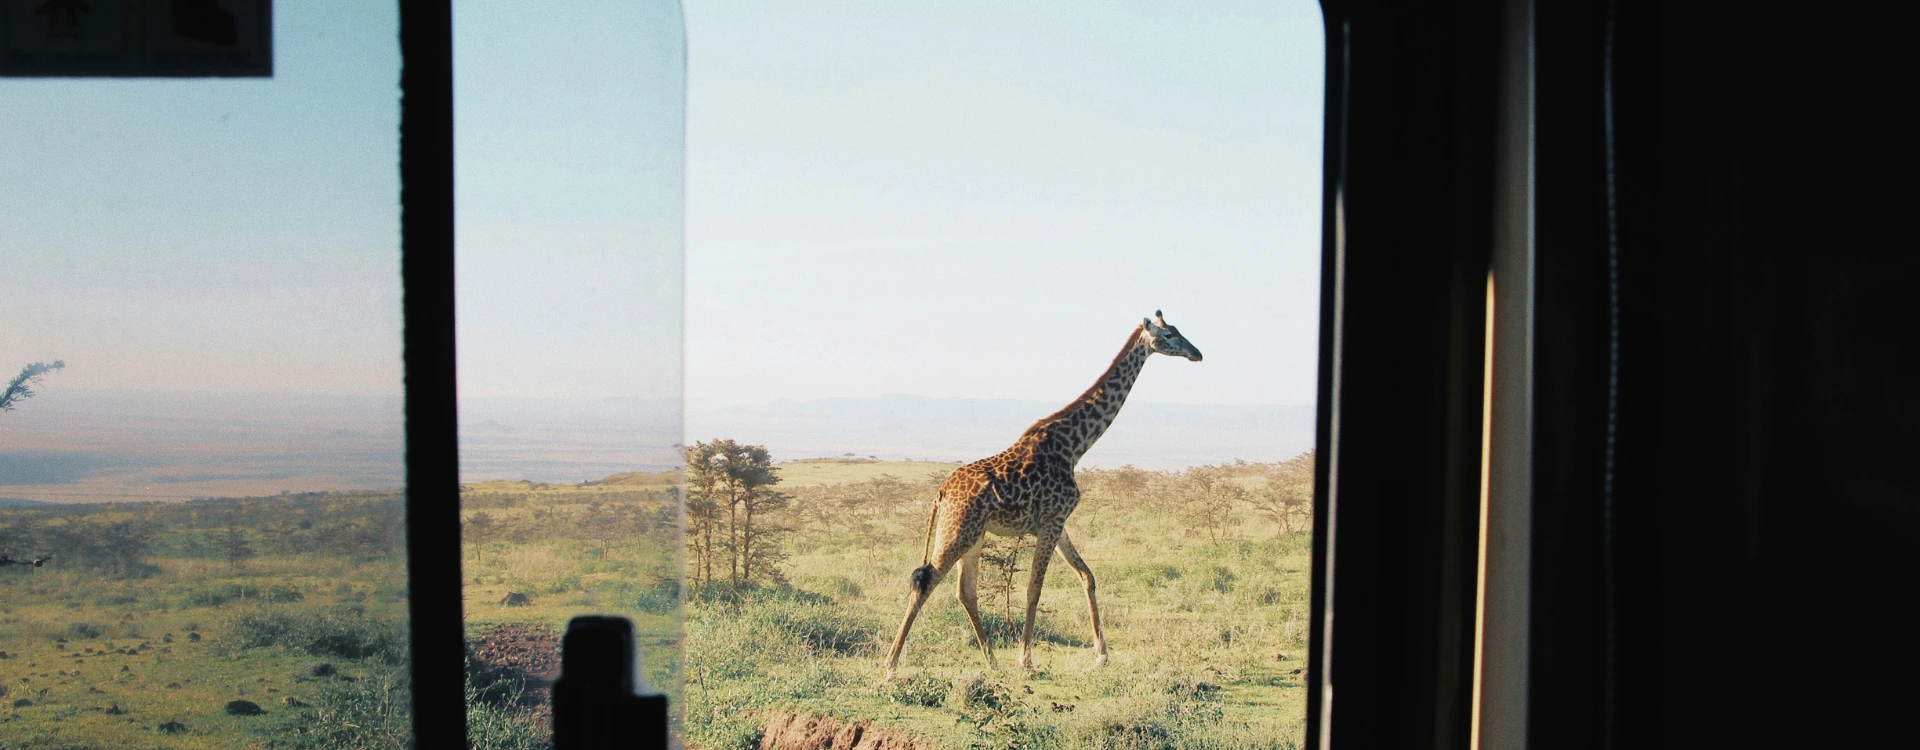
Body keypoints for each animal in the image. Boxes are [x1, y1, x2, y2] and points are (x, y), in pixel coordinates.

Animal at [882, 311, 1203, 678]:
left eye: (1178, 331)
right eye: (1170, 335)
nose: (1197, 353)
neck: (1075, 445)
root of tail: (941, 491)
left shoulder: (1057, 523)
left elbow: (1087, 576)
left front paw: (1102, 655)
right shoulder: (1051, 521)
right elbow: (1034, 588)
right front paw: (1026, 658)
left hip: (973, 535)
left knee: (965, 592)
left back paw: (991, 660)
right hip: (957, 531)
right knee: (926, 582)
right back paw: (891, 664)